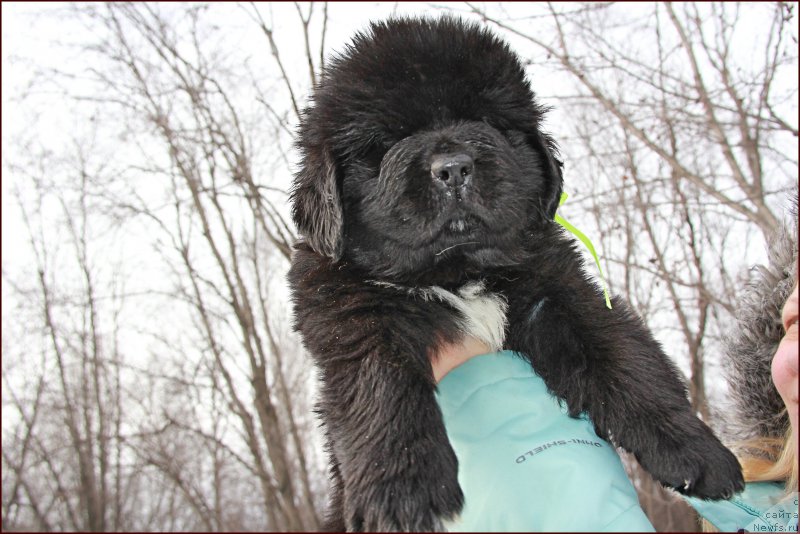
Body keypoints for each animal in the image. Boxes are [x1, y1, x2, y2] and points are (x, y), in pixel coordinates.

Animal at [290, 15, 744, 532]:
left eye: (486, 122)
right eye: (385, 143)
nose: (453, 168)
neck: (459, 274)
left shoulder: (560, 289)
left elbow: (627, 357)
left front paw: (696, 452)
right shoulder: (352, 314)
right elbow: (381, 385)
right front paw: (403, 493)